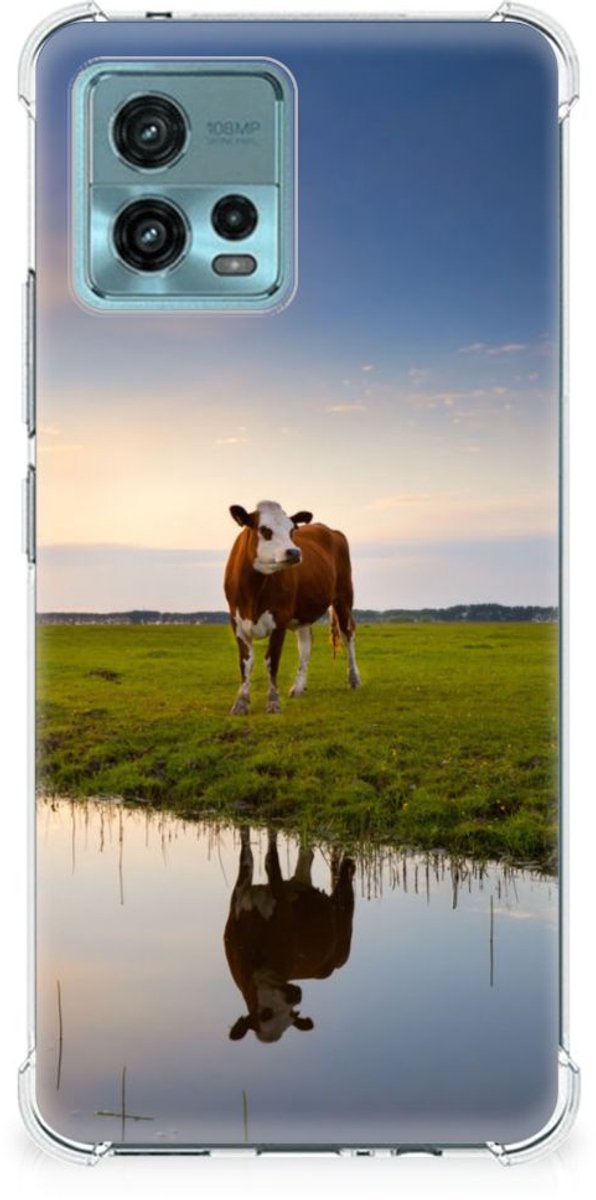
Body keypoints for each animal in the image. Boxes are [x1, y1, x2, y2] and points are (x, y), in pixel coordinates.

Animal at [224, 500, 361, 715]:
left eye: (291, 530)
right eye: (265, 530)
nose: (295, 552)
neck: (253, 592)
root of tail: (330, 529)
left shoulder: (280, 619)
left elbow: (272, 660)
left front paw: (273, 702)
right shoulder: (236, 621)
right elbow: (245, 662)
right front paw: (241, 702)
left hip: (344, 597)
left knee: (348, 635)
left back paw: (353, 679)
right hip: (303, 614)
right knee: (306, 644)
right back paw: (298, 687)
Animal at [224, 827, 355, 1043]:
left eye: (291, 1016)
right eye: (265, 1014)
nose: (296, 995)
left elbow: (270, 860)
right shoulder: (239, 896)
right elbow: (247, 856)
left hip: (344, 929)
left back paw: (348, 863)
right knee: (307, 855)